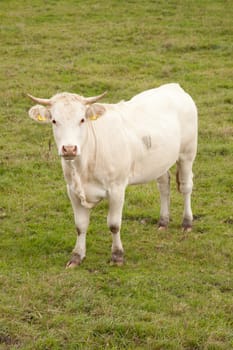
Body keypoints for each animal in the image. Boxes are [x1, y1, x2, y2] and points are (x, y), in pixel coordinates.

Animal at [28, 83, 198, 266]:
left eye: (82, 119)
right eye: (54, 120)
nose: (69, 149)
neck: (84, 168)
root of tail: (174, 86)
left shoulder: (117, 188)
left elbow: (114, 224)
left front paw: (117, 256)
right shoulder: (72, 190)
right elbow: (80, 225)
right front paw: (76, 256)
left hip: (187, 153)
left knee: (186, 186)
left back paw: (187, 222)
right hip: (160, 161)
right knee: (164, 185)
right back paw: (163, 222)